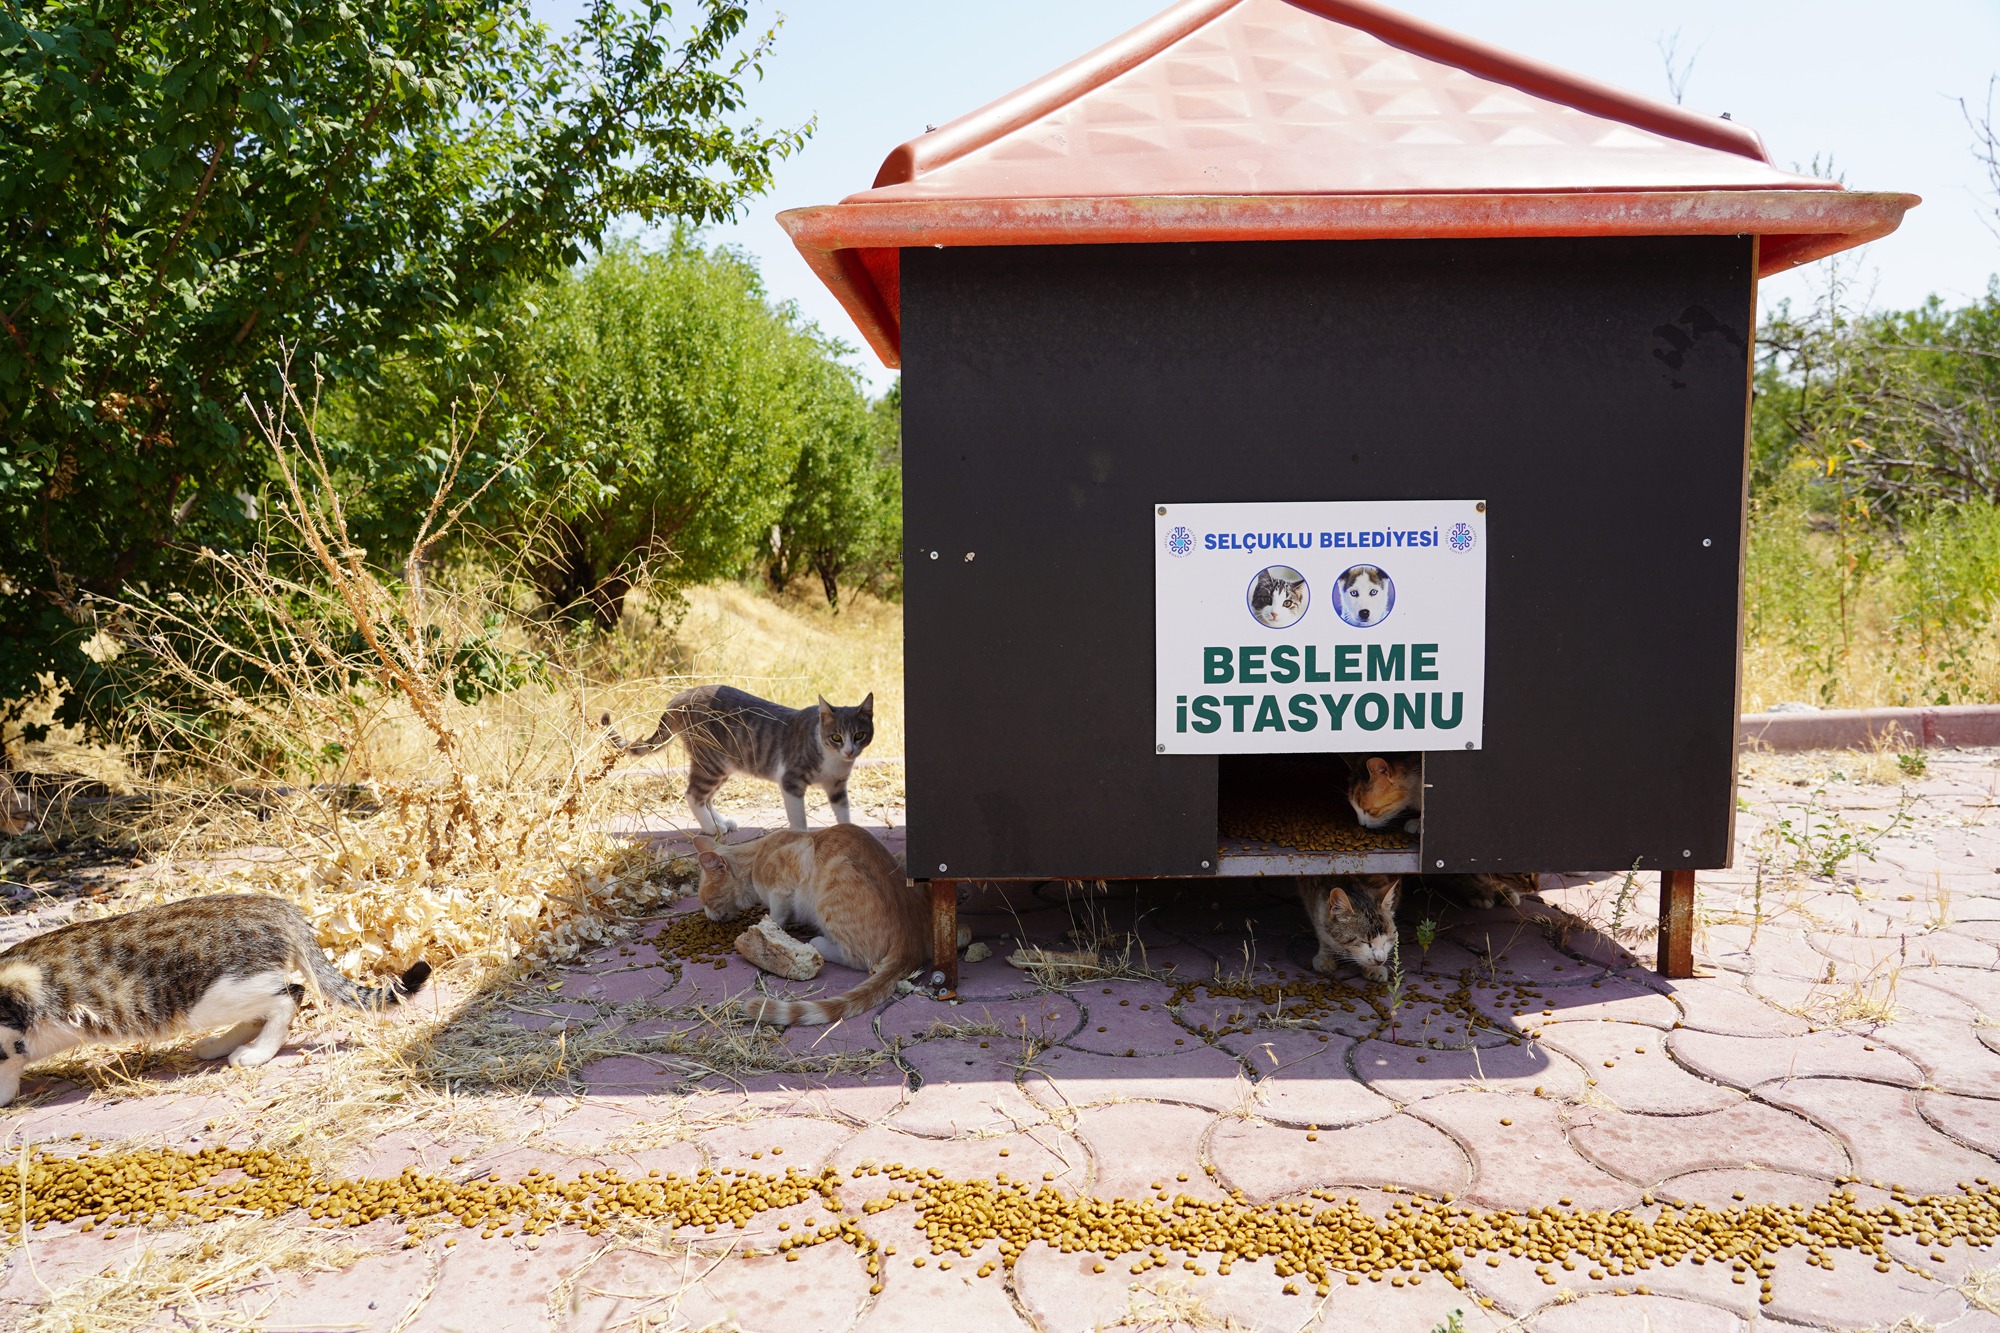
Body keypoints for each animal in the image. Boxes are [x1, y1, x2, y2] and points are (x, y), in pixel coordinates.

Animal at [0, 892, 430, 1096]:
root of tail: (277, 906)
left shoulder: (10, 1030)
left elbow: (7, 1065)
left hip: (213, 995)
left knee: (289, 995)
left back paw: (255, 1053)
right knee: (267, 1007)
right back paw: (218, 1045)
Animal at [596, 684, 872, 832]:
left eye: (859, 735)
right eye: (836, 737)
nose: (849, 751)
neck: (833, 759)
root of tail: (679, 697)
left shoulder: (837, 786)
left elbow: (843, 812)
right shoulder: (791, 781)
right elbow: (798, 818)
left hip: (722, 764)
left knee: (706, 797)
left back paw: (720, 822)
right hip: (711, 762)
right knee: (694, 794)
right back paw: (711, 829)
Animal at [692, 820, 932, 1024]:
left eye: (706, 901)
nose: (708, 916)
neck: (755, 858)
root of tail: (912, 938)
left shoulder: (783, 886)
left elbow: (777, 915)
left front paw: (765, 931)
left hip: (835, 878)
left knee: (859, 958)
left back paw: (819, 942)